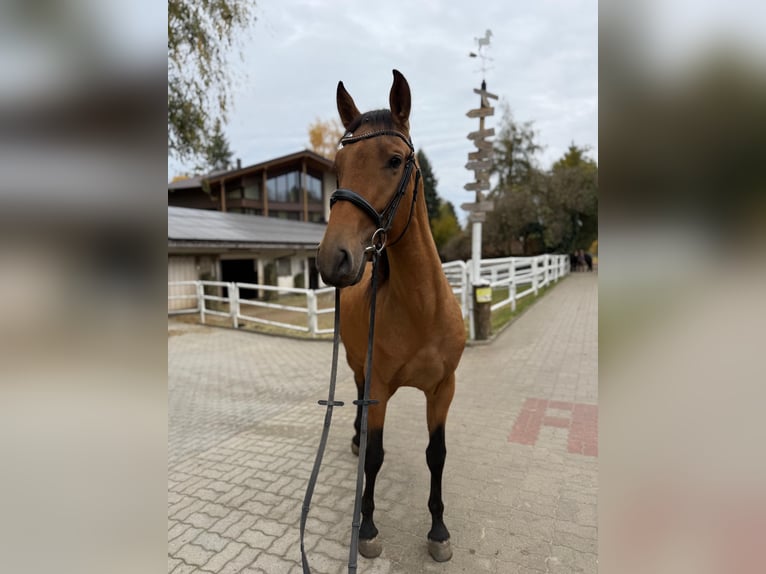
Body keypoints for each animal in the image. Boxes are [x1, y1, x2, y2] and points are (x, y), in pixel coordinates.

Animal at [316, 70, 466, 563]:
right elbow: (375, 457)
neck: (422, 310)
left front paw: (438, 531)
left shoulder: (442, 390)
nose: (333, 258)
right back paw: (355, 438)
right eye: (339, 166)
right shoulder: (379, 387)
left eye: (395, 160)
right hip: (356, 364)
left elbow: (437, 455)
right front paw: (366, 528)